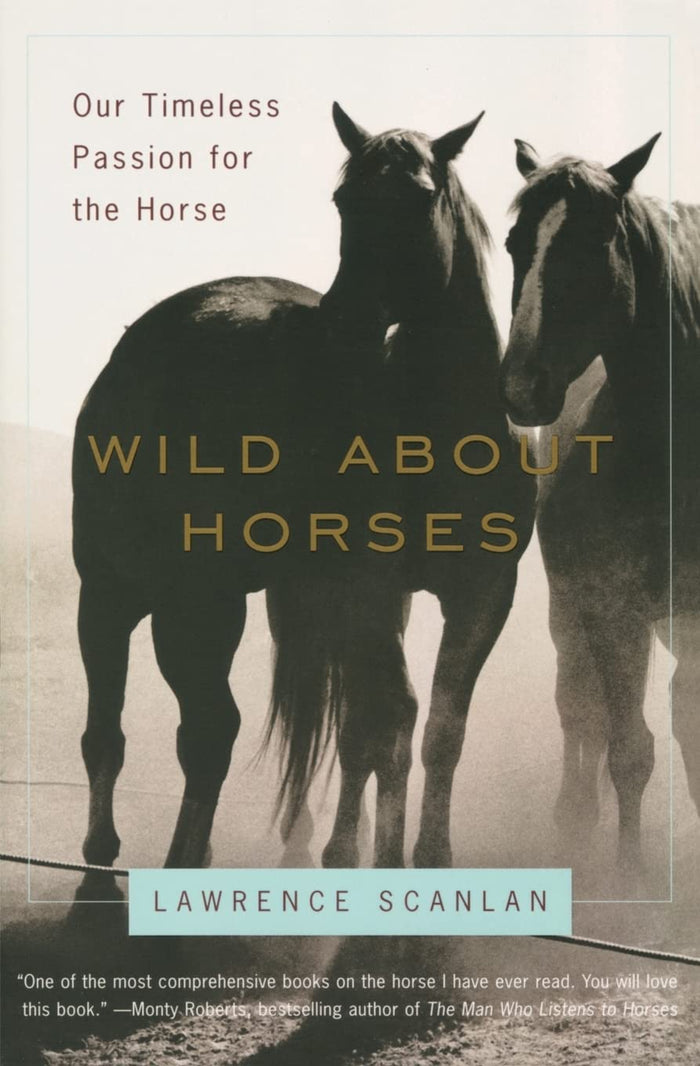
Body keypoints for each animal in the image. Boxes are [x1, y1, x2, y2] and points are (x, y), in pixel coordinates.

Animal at [266, 107, 536, 869]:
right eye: (343, 200)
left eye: (418, 200)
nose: (340, 322)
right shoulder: (373, 586)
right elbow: (385, 722)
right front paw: (371, 851)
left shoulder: (484, 595)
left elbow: (441, 725)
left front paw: (430, 851)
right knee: (339, 713)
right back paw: (314, 838)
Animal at [500, 135, 700, 870]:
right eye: (515, 244)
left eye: (596, 243)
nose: (523, 386)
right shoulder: (613, 609)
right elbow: (628, 749)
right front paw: (634, 875)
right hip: (572, 609)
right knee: (577, 707)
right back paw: (575, 813)